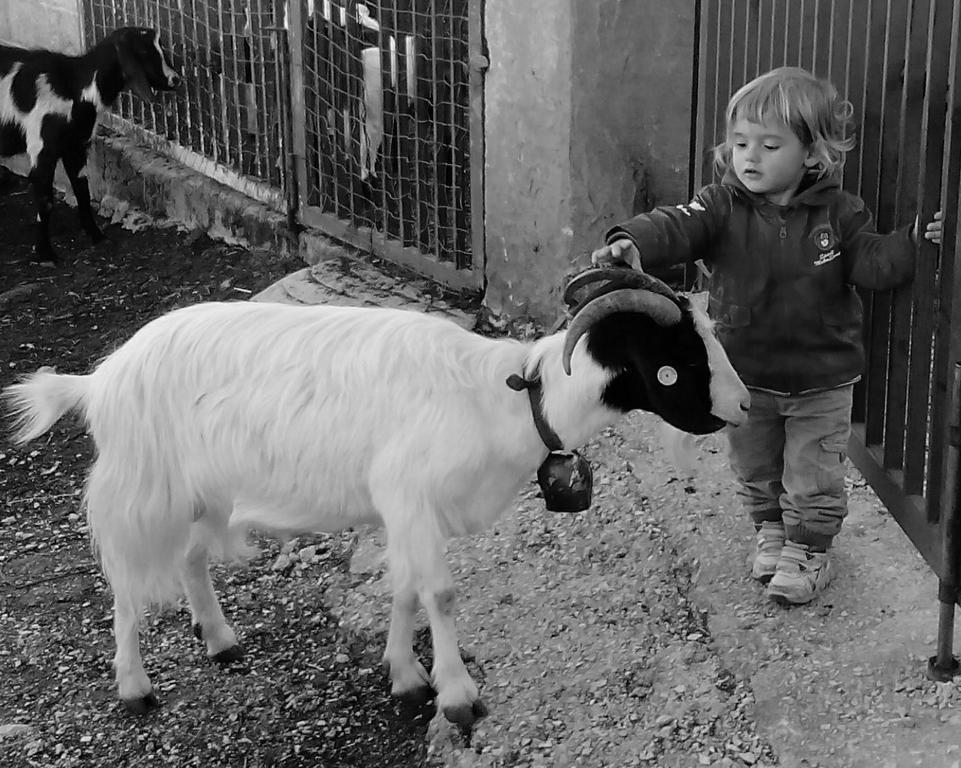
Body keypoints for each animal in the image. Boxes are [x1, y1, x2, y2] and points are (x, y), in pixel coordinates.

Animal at [0, 27, 181, 266]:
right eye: (142, 51)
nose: (175, 79)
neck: (75, 87)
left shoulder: (76, 146)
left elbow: (82, 191)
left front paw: (97, 236)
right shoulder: (42, 148)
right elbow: (46, 202)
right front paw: (45, 254)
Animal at [1, 270, 752, 728]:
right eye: (677, 360)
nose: (744, 406)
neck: (505, 398)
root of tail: (98, 380)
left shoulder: (402, 508)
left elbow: (404, 589)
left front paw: (405, 675)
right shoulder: (410, 496)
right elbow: (439, 593)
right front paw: (457, 695)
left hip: (201, 489)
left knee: (189, 558)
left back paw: (219, 639)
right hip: (141, 486)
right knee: (127, 585)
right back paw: (134, 686)